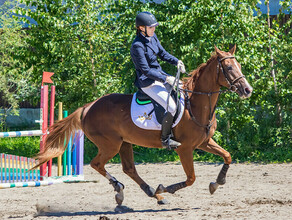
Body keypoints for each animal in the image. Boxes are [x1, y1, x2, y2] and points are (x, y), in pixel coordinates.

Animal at [34, 45, 253, 205]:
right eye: (229, 68)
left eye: (239, 66)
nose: (247, 90)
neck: (196, 104)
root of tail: (88, 107)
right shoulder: (185, 148)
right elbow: (191, 178)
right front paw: (166, 188)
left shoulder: (204, 142)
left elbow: (227, 156)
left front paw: (217, 182)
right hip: (110, 144)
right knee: (98, 164)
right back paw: (124, 190)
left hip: (124, 142)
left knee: (129, 169)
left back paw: (151, 194)